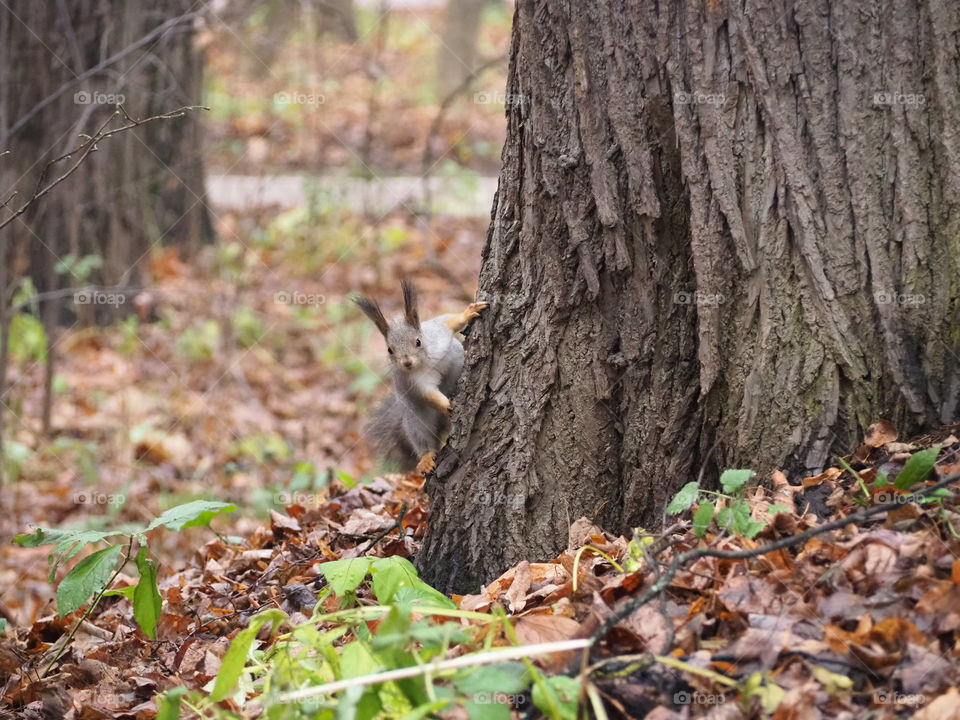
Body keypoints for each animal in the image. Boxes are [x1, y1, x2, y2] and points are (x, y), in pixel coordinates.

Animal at [355, 280, 487, 474]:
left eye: (418, 341)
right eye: (389, 349)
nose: (407, 363)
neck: (424, 362)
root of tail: (442, 425)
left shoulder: (437, 334)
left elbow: (449, 322)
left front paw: (468, 312)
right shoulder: (414, 381)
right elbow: (428, 394)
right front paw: (446, 404)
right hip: (416, 421)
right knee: (422, 439)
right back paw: (425, 458)